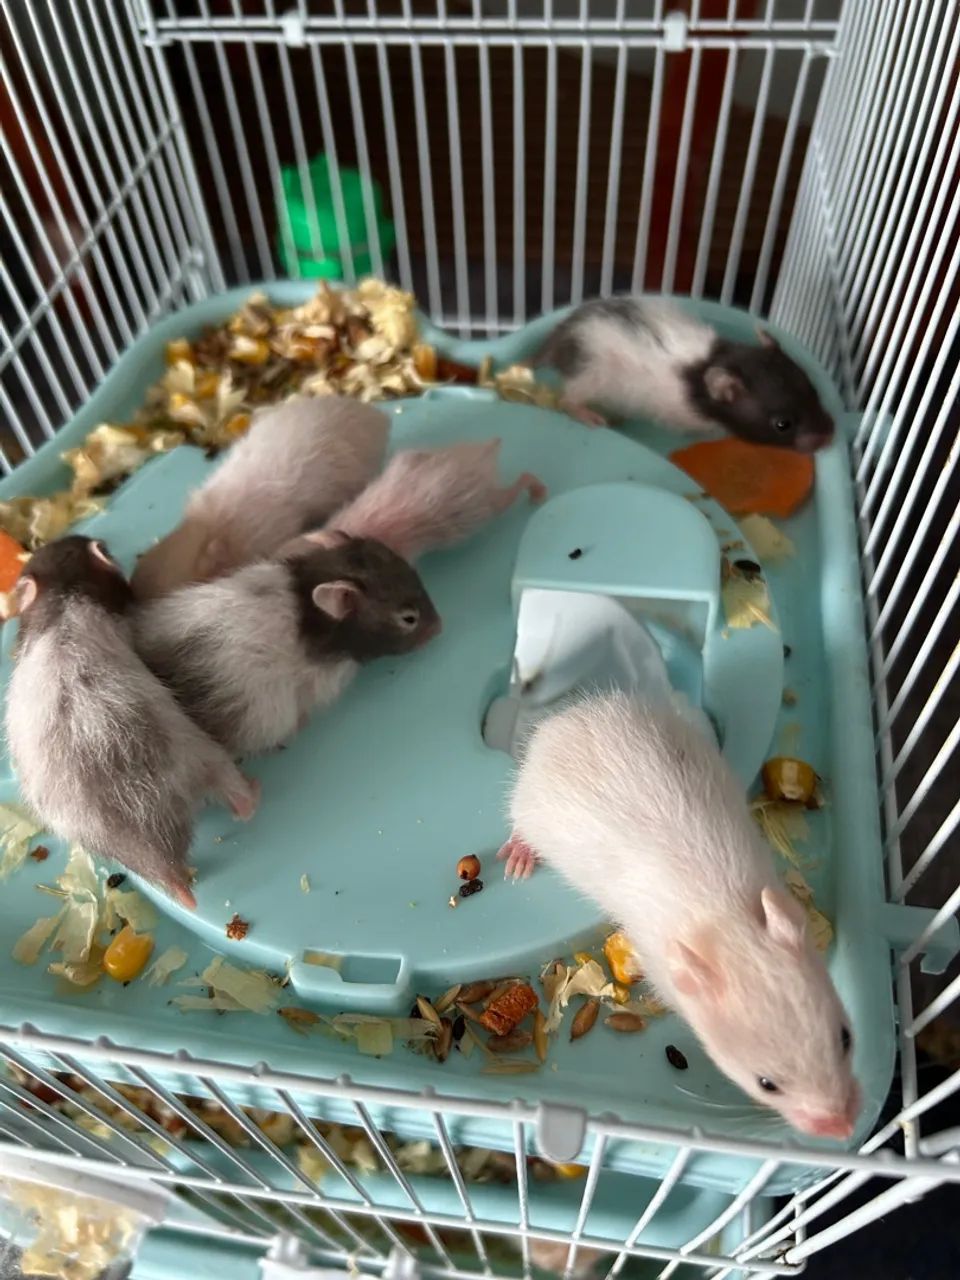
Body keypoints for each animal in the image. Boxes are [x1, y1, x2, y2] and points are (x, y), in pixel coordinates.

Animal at [498, 691, 860, 1140]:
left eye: (846, 1037)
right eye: (766, 1084)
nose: (845, 1129)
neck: (727, 922)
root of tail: (556, 726)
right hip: (532, 807)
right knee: (520, 826)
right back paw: (518, 856)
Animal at [537, 297, 834, 452]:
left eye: (813, 390)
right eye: (782, 424)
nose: (830, 436)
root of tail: (558, 340)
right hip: (589, 377)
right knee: (567, 400)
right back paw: (589, 415)